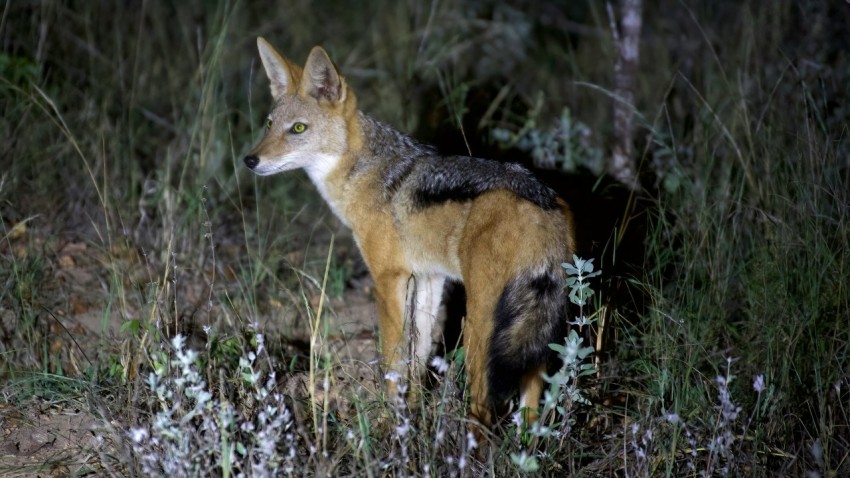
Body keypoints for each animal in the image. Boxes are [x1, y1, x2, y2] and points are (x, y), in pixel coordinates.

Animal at [243, 37, 576, 429]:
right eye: (269, 124)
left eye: (297, 129)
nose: (250, 160)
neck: (364, 173)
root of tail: (541, 199)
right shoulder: (429, 278)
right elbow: (417, 357)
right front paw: (412, 415)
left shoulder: (388, 278)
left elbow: (392, 360)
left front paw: (390, 421)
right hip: (527, 337)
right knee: (531, 407)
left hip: (481, 327)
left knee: (483, 408)